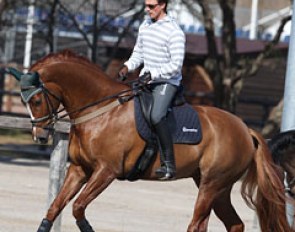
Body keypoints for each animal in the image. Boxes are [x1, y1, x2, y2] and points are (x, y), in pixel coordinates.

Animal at [5, 50, 292, 232]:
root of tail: (245, 129)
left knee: (197, 224)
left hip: (212, 185)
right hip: (215, 187)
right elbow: (54, 209)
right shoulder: (79, 169)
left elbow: (77, 208)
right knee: (233, 224)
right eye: (24, 101)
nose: (41, 136)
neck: (100, 111)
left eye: (36, 100)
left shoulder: (106, 172)